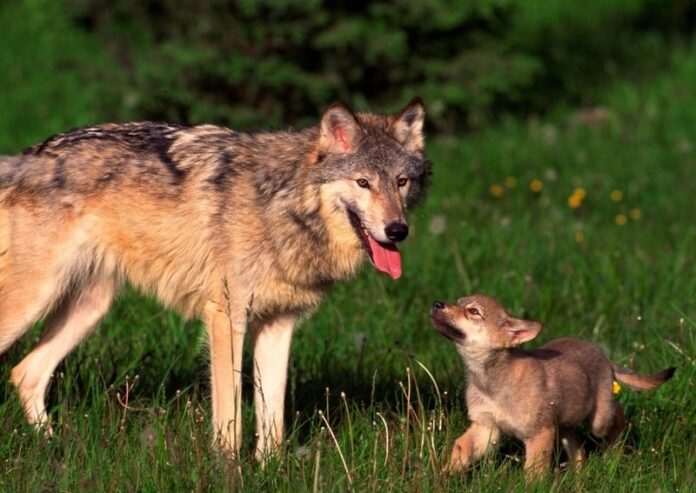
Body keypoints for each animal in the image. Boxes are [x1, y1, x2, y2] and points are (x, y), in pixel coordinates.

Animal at [0, 98, 430, 458]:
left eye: (401, 182)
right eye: (363, 182)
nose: (397, 231)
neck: (281, 205)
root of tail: (27, 156)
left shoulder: (279, 326)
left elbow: (272, 419)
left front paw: (270, 470)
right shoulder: (227, 319)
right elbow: (230, 418)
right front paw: (227, 469)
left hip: (89, 309)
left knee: (26, 373)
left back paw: (55, 448)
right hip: (33, 303)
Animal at [431, 294, 675, 480]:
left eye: (473, 311)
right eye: (458, 301)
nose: (437, 304)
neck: (490, 381)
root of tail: (604, 357)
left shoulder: (539, 433)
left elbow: (534, 472)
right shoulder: (485, 428)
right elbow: (460, 450)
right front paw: (444, 476)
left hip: (598, 421)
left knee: (618, 415)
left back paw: (612, 455)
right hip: (565, 423)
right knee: (579, 447)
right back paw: (579, 476)